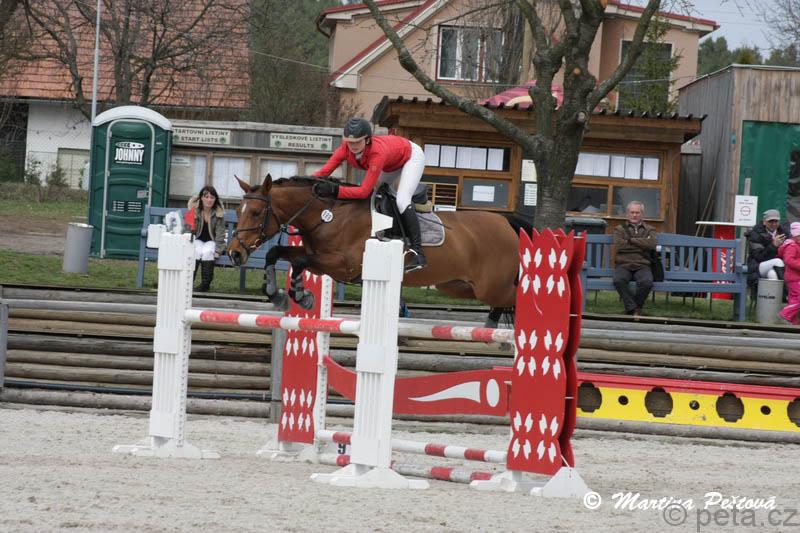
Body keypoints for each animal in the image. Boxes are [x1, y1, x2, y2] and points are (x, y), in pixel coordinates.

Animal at [227, 174, 524, 327]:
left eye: (256, 212)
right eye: (239, 211)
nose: (234, 253)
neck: (328, 215)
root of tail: (506, 223)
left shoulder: (343, 265)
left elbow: (299, 261)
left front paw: (302, 296)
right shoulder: (321, 261)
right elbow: (276, 253)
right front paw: (278, 295)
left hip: (491, 286)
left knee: (515, 296)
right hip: (458, 286)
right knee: (502, 302)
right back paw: (492, 327)